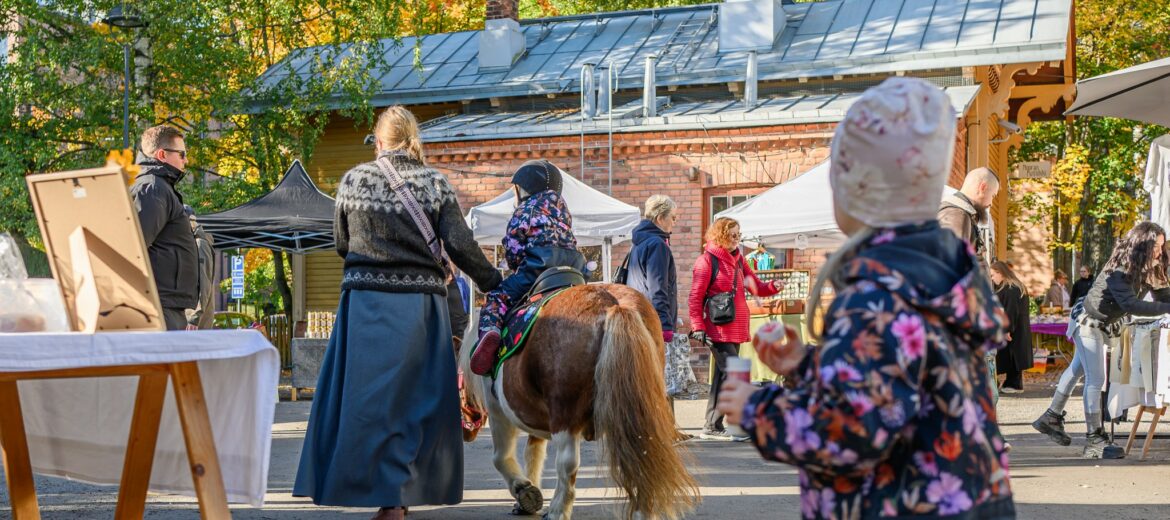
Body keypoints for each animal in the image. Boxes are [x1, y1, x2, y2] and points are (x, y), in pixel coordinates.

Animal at [460, 284, 697, 520]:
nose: (466, 434)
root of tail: (612, 304)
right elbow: (534, 454)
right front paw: (526, 498)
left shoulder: (498, 412)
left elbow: (501, 457)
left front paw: (523, 489)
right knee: (639, 462)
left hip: (565, 417)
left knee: (567, 464)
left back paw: (557, 510)